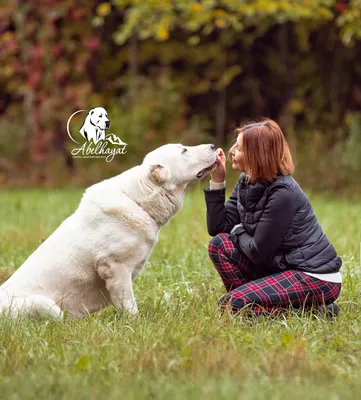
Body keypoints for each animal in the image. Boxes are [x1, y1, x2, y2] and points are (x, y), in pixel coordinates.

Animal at [0, 144, 215, 318]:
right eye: (184, 151)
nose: (213, 146)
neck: (137, 200)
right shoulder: (115, 267)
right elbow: (128, 303)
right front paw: (135, 323)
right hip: (46, 306)